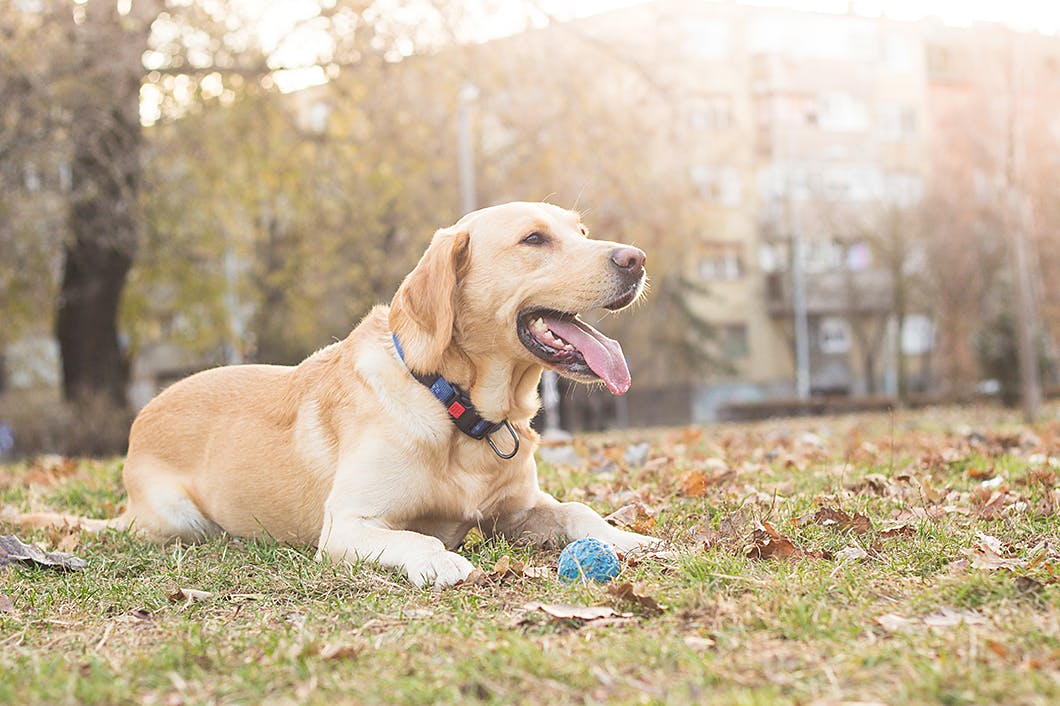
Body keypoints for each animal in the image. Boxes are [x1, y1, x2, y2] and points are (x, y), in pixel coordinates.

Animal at [18, 200, 652, 585]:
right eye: (534, 239)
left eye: (581, 232)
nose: (637, 257)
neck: (456, 404)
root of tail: (143, 414)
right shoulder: (348, 524)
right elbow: (417, 541)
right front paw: (445, 564)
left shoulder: (518, 511)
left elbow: (577, 510)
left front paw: (627, 536)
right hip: (180, 519)